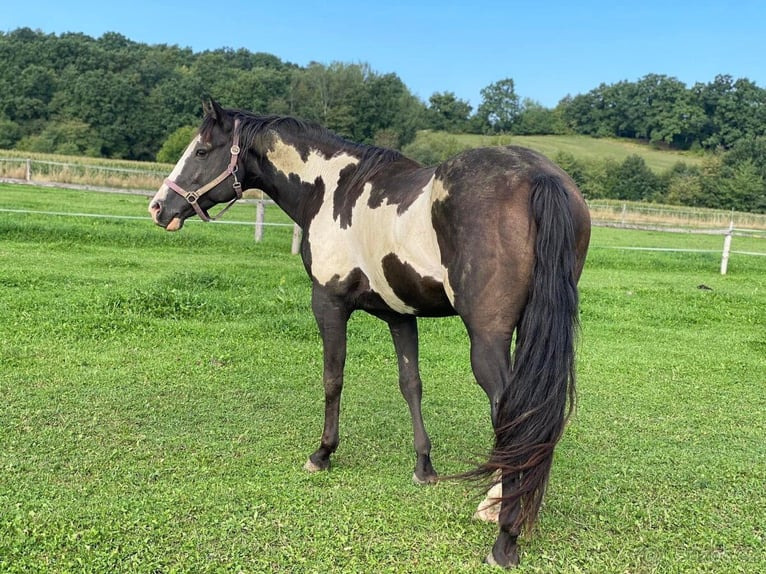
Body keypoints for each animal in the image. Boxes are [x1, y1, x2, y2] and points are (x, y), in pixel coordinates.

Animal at [152, 100, 592, 572]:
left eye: (201, 150)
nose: (159, 207)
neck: (331, 187)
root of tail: (540, 176)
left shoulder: (328, 304)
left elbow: (333, 379)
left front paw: (322, 454)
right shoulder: (399, 315)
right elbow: (411, 384)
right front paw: (424, 466)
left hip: (487, 340)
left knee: (513, 412)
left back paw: (503, 529)